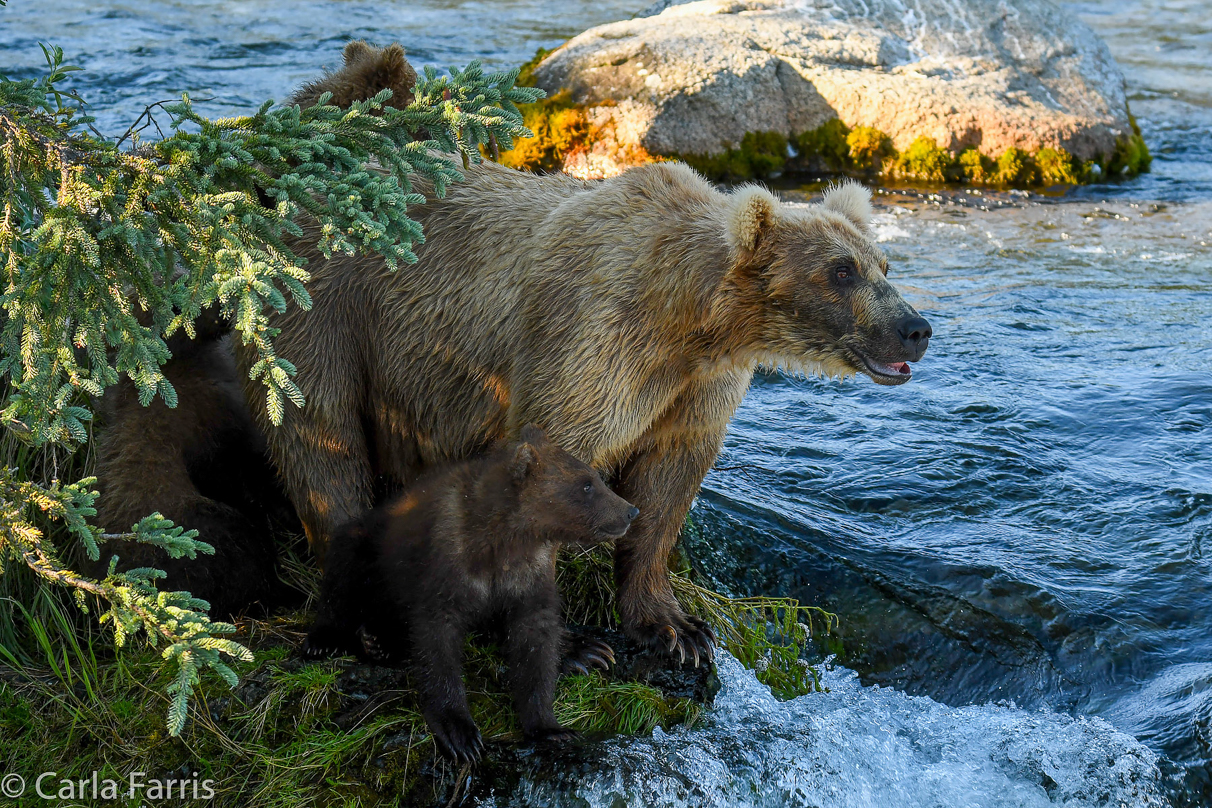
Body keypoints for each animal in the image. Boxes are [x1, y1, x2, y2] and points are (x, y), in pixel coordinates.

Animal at [241, 45, 930, 663]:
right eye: (840, 271)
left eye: (883, 265)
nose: (915, 328)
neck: (690, 322)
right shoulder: (591, 344)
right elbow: (550, 470)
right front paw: (575, 645)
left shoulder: (695, 393)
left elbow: (663, 496)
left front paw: (675, 630)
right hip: (328, 310)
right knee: (321, 440)